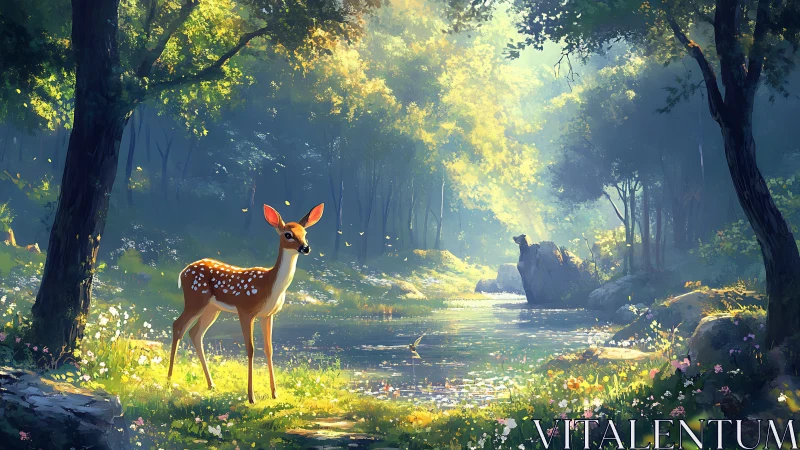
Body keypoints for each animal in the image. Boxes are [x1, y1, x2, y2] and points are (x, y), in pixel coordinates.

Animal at [168, 203, 324, 404]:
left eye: (305, 233)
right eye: (288, 234)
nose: (305, 248)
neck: (270, 285)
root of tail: (183, 271)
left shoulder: (268, 314)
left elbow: (269, 349)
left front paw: (274, 393)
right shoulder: (245, 310)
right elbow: (250, 349)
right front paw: (251, 397)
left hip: (212, 308)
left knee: (195, 333)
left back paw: (211, 384)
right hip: (195, 299)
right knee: (178, 325)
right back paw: (169, 380)